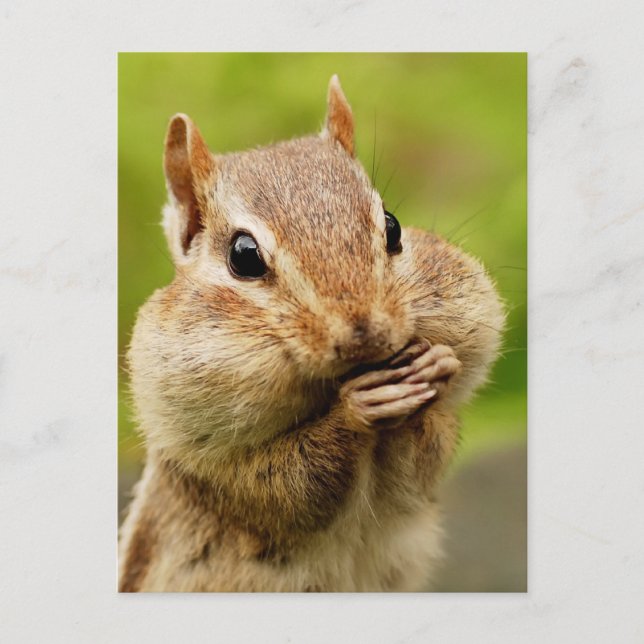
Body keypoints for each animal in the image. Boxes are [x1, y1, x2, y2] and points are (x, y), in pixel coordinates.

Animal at [118, 75, 504, 592]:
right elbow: (291, 488)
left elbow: (424, 466)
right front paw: (356, 409)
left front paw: (435, 367)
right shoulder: (216, 468)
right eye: (243, 256)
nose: (367, 336)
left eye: (392, 226)